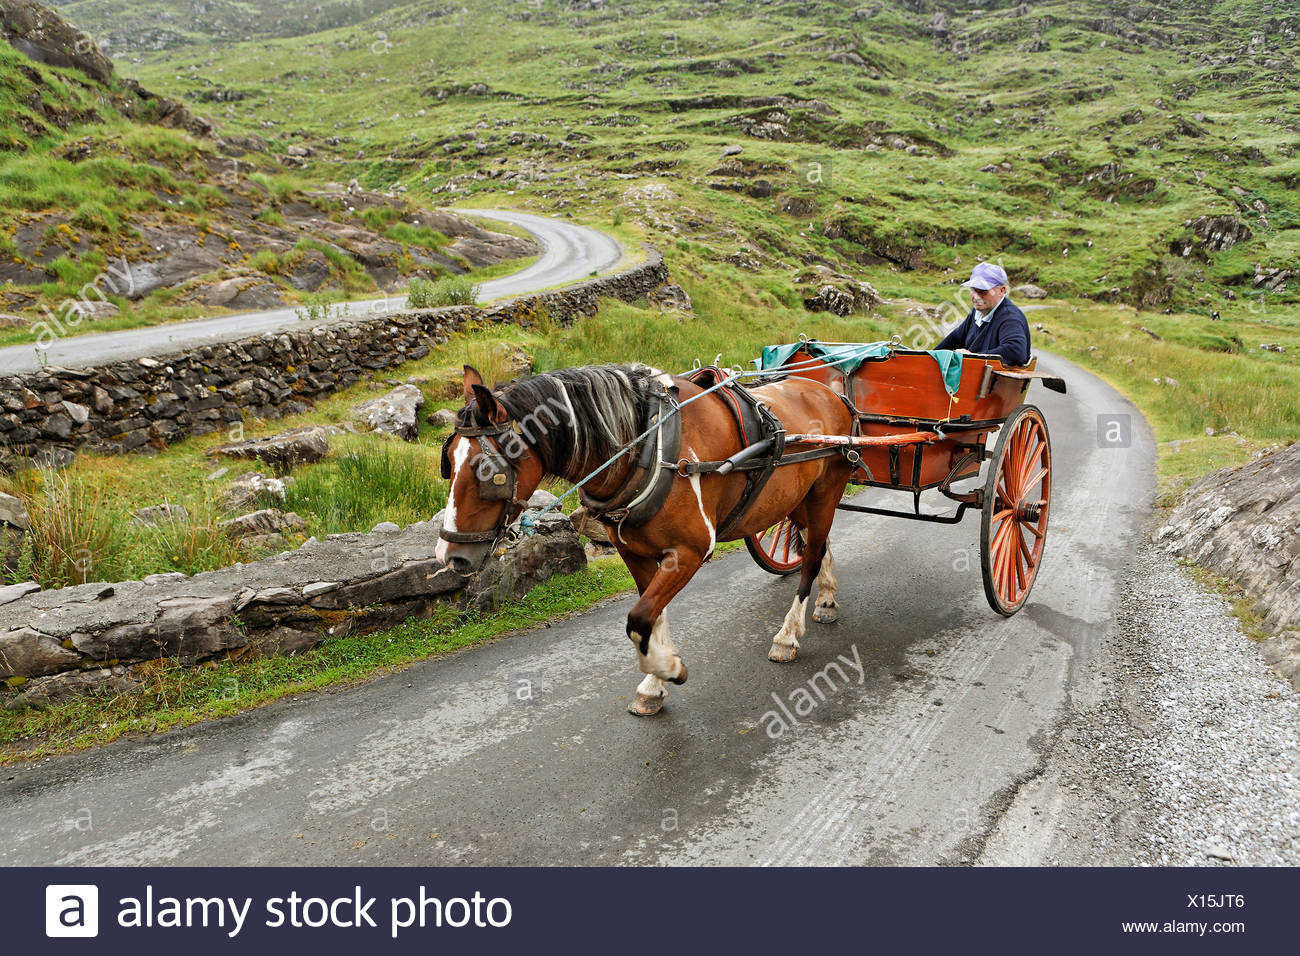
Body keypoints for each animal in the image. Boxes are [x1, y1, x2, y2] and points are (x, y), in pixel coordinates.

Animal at [435, 363, 856, 716]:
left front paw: (668, 669)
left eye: (487, 469)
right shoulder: (633, 551)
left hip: (826, 491)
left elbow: (639, 618)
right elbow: (651, 616)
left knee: (811, 556)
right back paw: (827, 597)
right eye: (448, 462)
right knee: (815, 543)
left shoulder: (690, 552)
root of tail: (827, 391)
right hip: (797, 498)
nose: (449, 555)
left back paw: (788, 635)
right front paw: (654, 684)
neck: (649, 446)